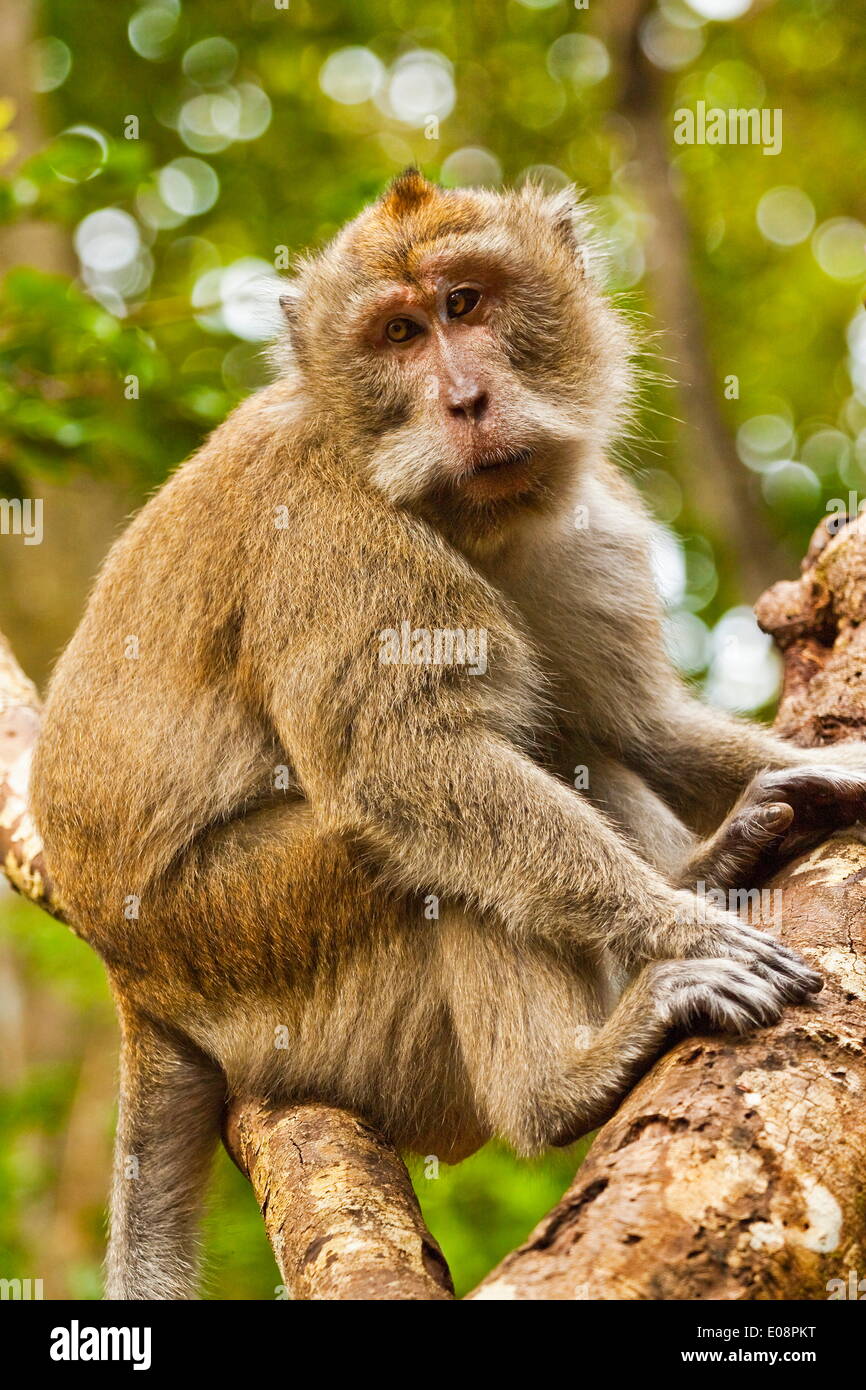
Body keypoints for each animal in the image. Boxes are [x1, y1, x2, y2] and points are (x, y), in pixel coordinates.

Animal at [29, 170, 866, 1301]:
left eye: (464, 304)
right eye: (396, 333)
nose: (465, 401)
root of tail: (130, 980)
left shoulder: (586, 524)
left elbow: (637, 724)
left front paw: (824, 775)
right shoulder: (334, 539)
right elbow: (406, 768)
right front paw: (678, 929)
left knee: (562, 743)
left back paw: (719, 858)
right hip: (241, 946)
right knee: (419, 855)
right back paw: (563, 1083)